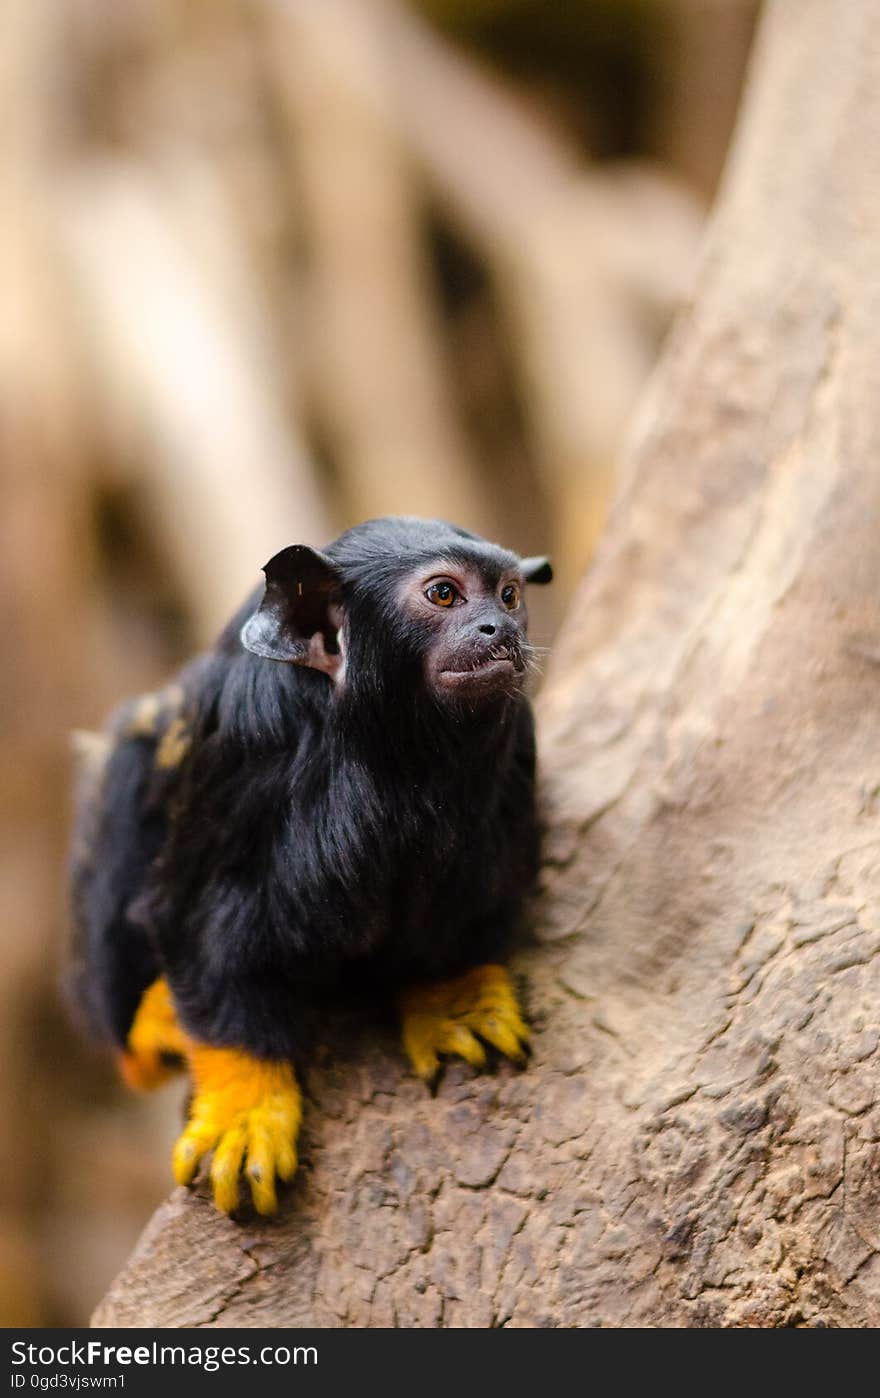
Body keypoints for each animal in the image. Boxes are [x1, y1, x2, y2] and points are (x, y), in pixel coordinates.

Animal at [68, 520, 548, 1219]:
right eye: (443, 594)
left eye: (510, 595)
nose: (498, 628)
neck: (383, 755)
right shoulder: (246, 755)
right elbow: (200, 930)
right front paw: (245, 1102)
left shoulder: (513, 759)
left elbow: (465, 900)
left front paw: (453, 996)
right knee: (133, 757)